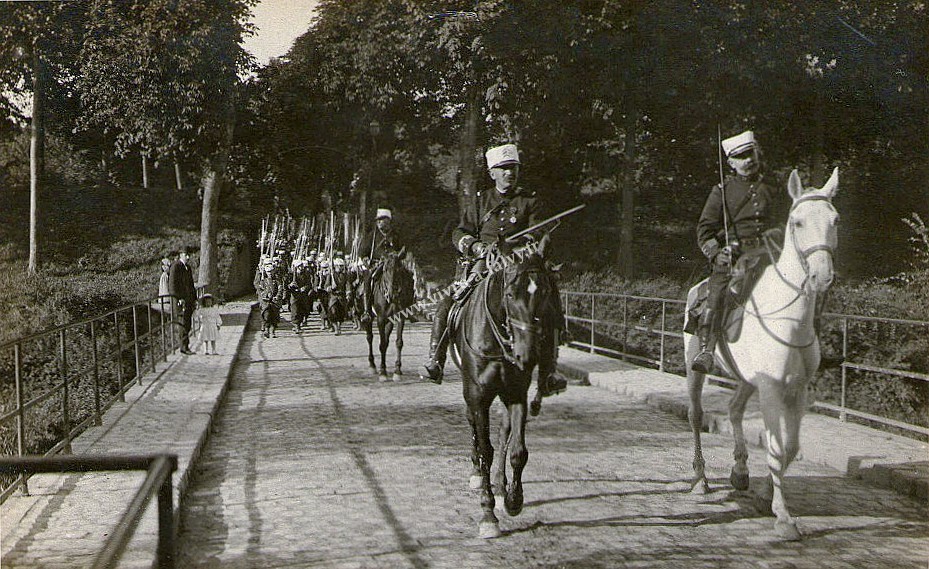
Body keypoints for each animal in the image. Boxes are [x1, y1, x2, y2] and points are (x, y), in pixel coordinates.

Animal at [366, 248, 414, 382]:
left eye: (399, 269)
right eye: (385, 269)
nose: (392, 294)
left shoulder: (400, 318)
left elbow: (398, 342)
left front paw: (397, 371)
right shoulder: (381, 319)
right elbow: (382, 344)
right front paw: (382, 372)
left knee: (386, 340)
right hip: (368, 317)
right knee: (370, 337)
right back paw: (372, 365)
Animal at [450, 235, 560, 536]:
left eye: (545, 292)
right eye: (510, 295)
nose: (528, 355)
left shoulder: (516, 393)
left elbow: (517, 450)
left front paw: (513, 499)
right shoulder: (477, 394)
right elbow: (485, 449)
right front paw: (487, 513)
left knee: (503, 433)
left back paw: (500, 487)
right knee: (475, 428)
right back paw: (478, 475)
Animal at [680, 166, 840, 540]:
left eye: (835, 219)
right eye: (797, 221)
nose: (821, 275)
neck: (790, 318)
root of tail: (698, 288)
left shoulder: (797, 391)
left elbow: (790, 449)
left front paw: (767, 496)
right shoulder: (770, 389)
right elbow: (776, 448)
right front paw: (783, 517)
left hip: (745, 378)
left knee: (735, 409)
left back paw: (739, 471)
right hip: (694, 369)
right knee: (696, 415)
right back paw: (700, 478)